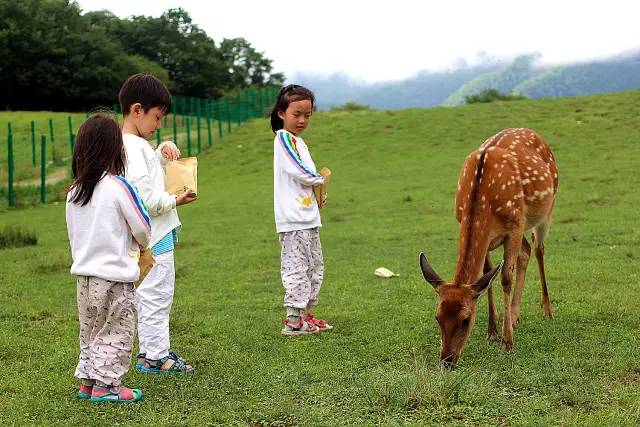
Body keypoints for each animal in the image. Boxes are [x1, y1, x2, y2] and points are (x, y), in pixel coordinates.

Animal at [419, 128, 558, 367]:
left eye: (466, 320)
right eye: (437, 317)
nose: (447, 360)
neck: (483, 199)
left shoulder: (514, 226)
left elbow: (505, 278)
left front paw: (507, 342)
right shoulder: (485, 233)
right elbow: (487, 276)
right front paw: (492, 330)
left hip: (545, 210)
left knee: (539, 249)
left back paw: (547, 310)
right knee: (526, 252)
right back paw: (515, 316)